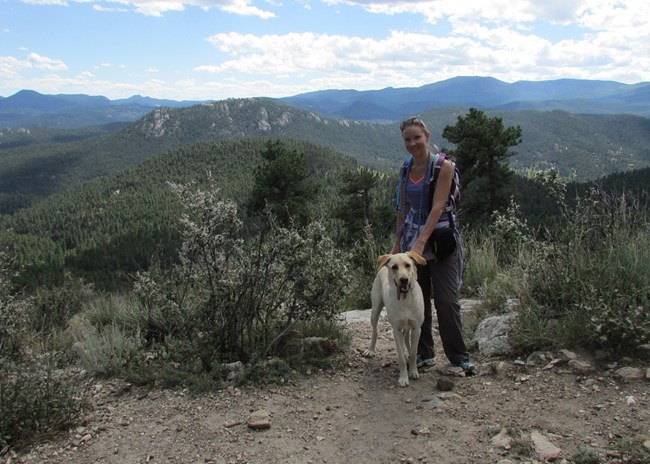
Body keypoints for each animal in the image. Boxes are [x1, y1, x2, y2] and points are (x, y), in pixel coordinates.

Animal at [364, 252, 426, 386]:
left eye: (408, 265)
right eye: (394, 267)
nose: (404, 280)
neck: (405, 299)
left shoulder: (416, 328)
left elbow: (414, 353)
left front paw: (413, 371)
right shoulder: (396, 330)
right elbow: (401, 357)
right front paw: (403, 378)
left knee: (406, 339)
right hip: (375, 310)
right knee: (375, 331)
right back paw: (370, 350)